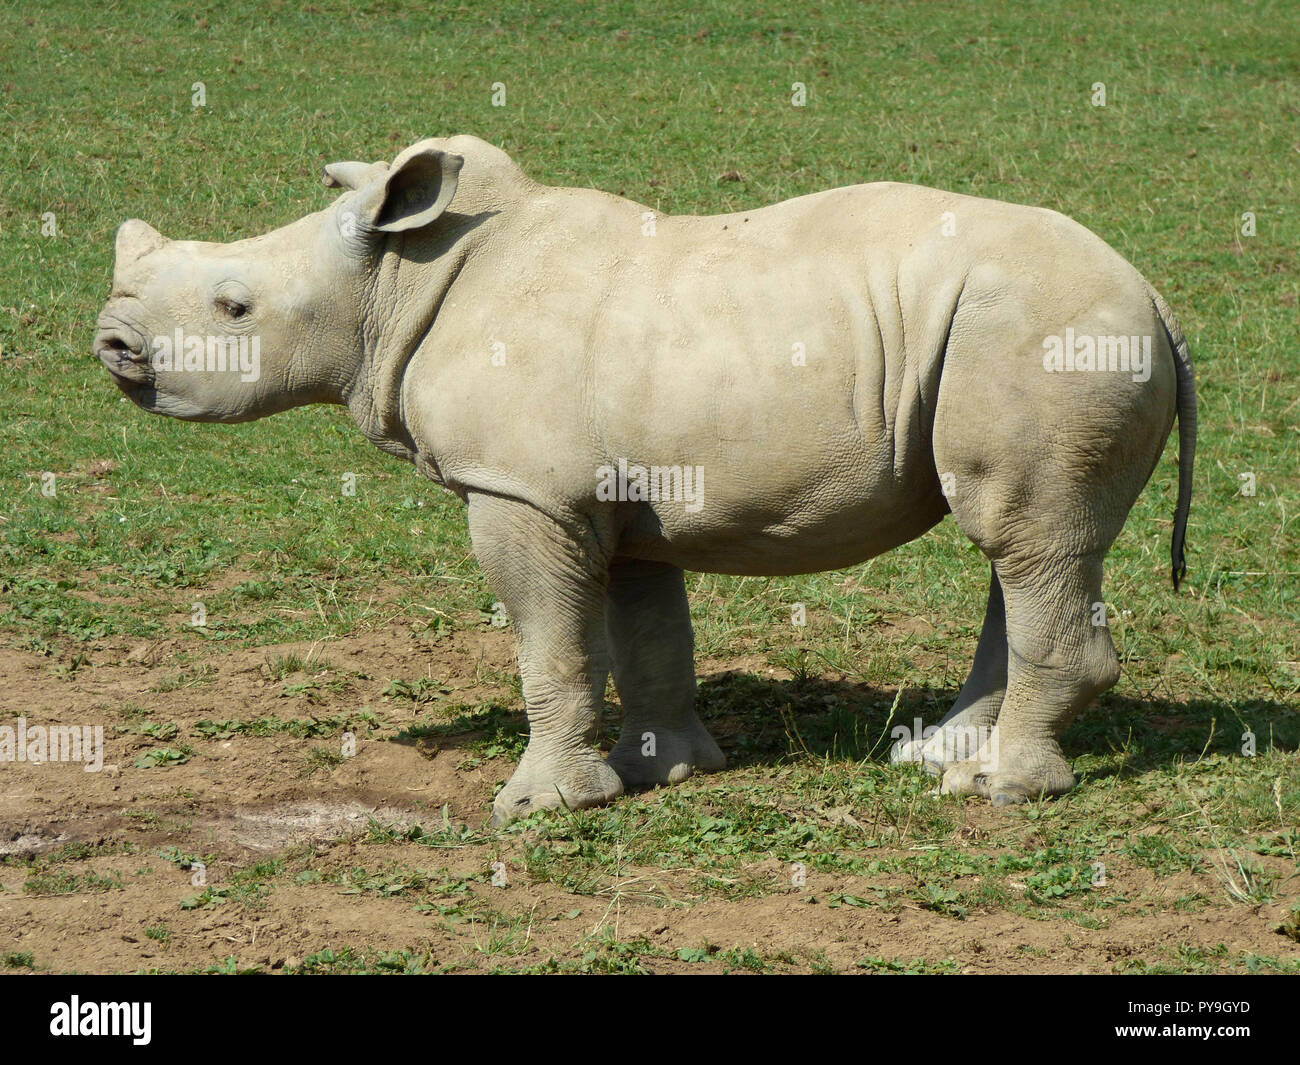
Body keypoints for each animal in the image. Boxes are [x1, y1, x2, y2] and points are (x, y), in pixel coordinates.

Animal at [95, 135, 1196, 825]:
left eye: (233, 307)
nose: (111, 341)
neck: (390, 285)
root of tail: (1155, 297)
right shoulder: (616, 500)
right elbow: (646, 637)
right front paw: (657, 770)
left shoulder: (520, 491)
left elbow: (550, 645)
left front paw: (539, 807)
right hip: (1034, 336)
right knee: (1025, 548)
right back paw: (936, 757)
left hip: (1044, 337)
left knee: (1025, 538)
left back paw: (995, 791)